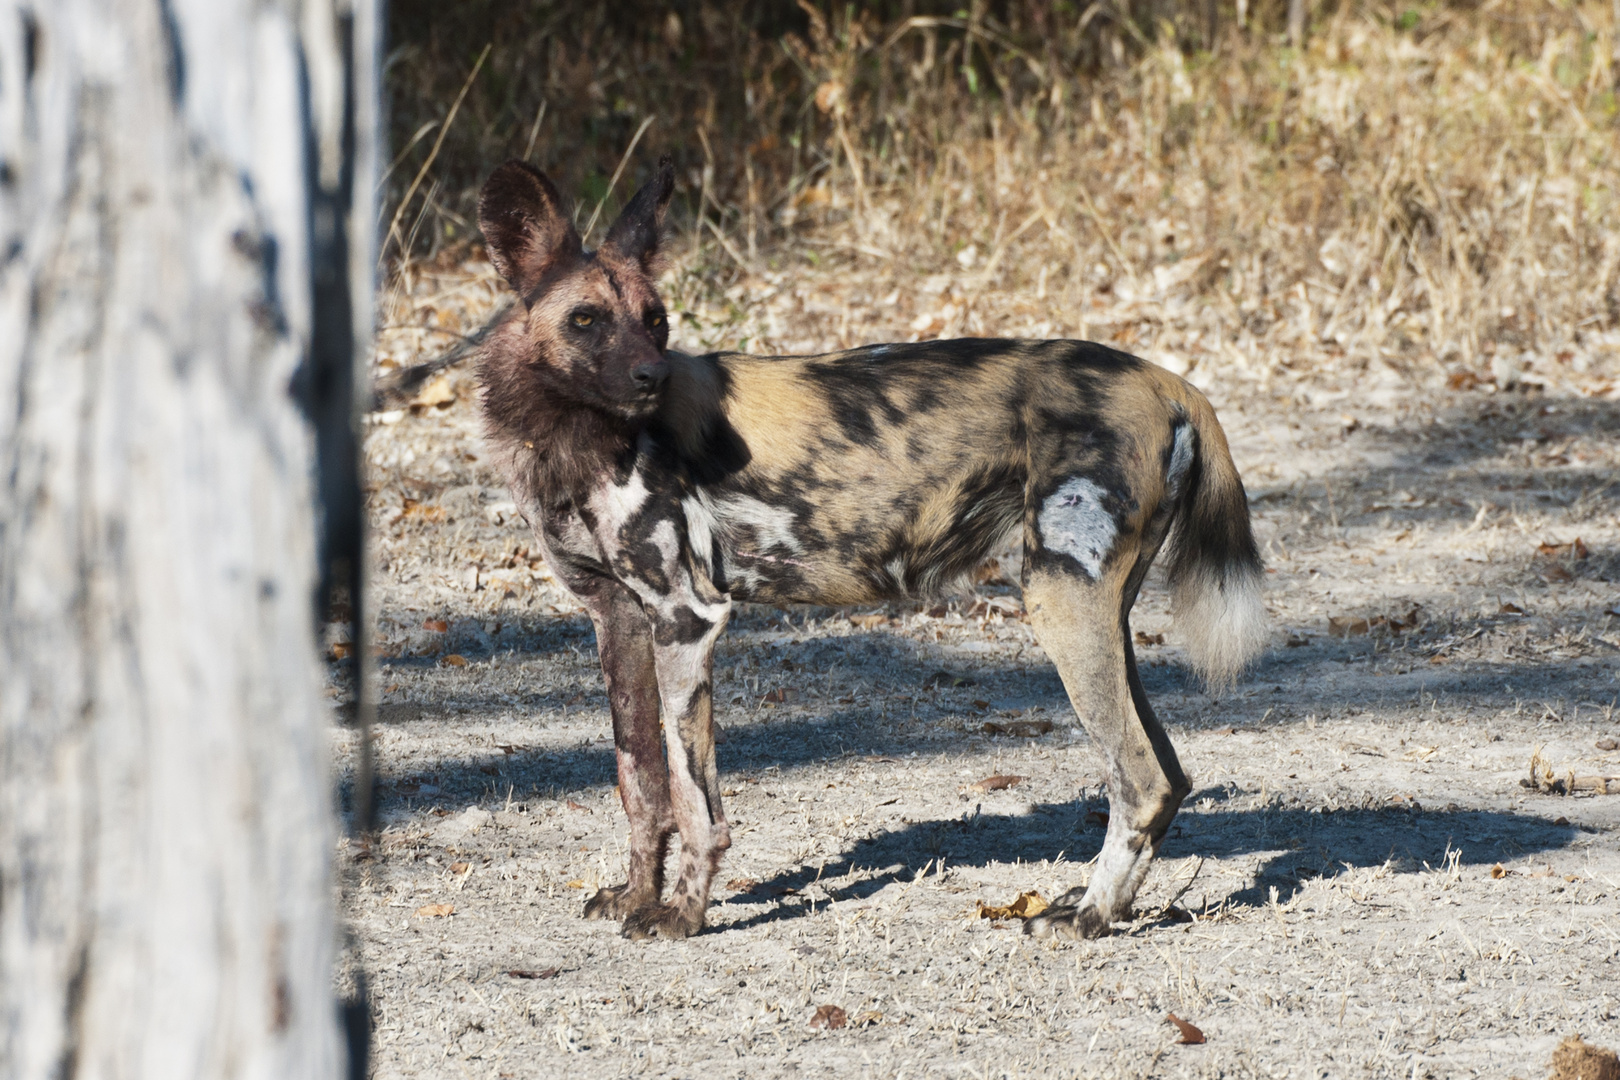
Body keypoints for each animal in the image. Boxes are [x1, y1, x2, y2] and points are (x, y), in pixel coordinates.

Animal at [473, 156, 1270, 939]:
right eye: (586, 320)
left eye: (656, 321)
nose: (652, 378)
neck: (574, 438)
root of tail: (1171, 383)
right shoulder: (619, 621)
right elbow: (640, 783)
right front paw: (636, 896)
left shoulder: (686, 618)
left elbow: (695, 801)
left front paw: (681, 916)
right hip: (1100, 615)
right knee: (1169, 776)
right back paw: (1103, 909)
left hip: (1061, 607)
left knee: (1140, 778)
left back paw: (1087, 918)